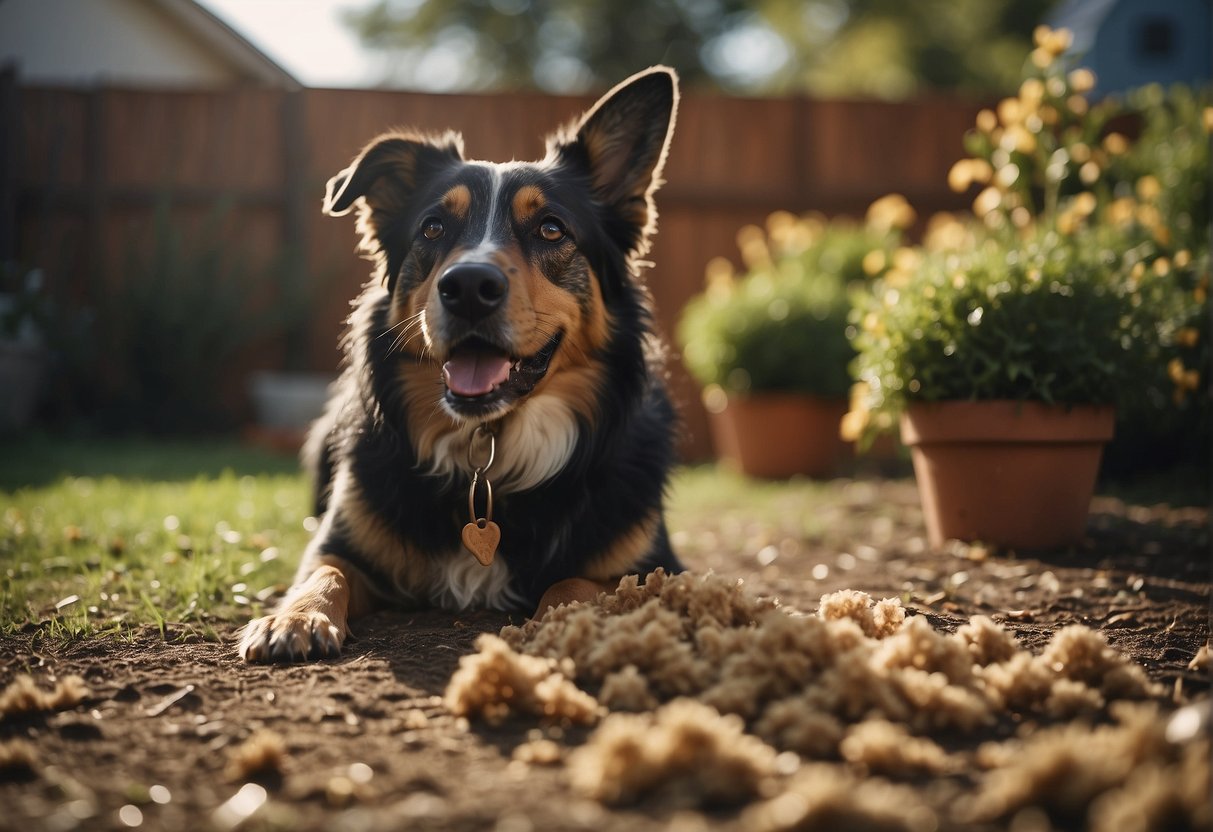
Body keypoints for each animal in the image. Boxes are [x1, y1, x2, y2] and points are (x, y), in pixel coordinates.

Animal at [241, 66, 688, 664]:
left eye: (551, 229)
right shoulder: (341, 541)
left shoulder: (656, 567)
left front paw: (557, 623)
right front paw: (294, 616)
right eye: (432, 228)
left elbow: (576, 583)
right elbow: (323, 570)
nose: (468, 286)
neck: (489, 449)